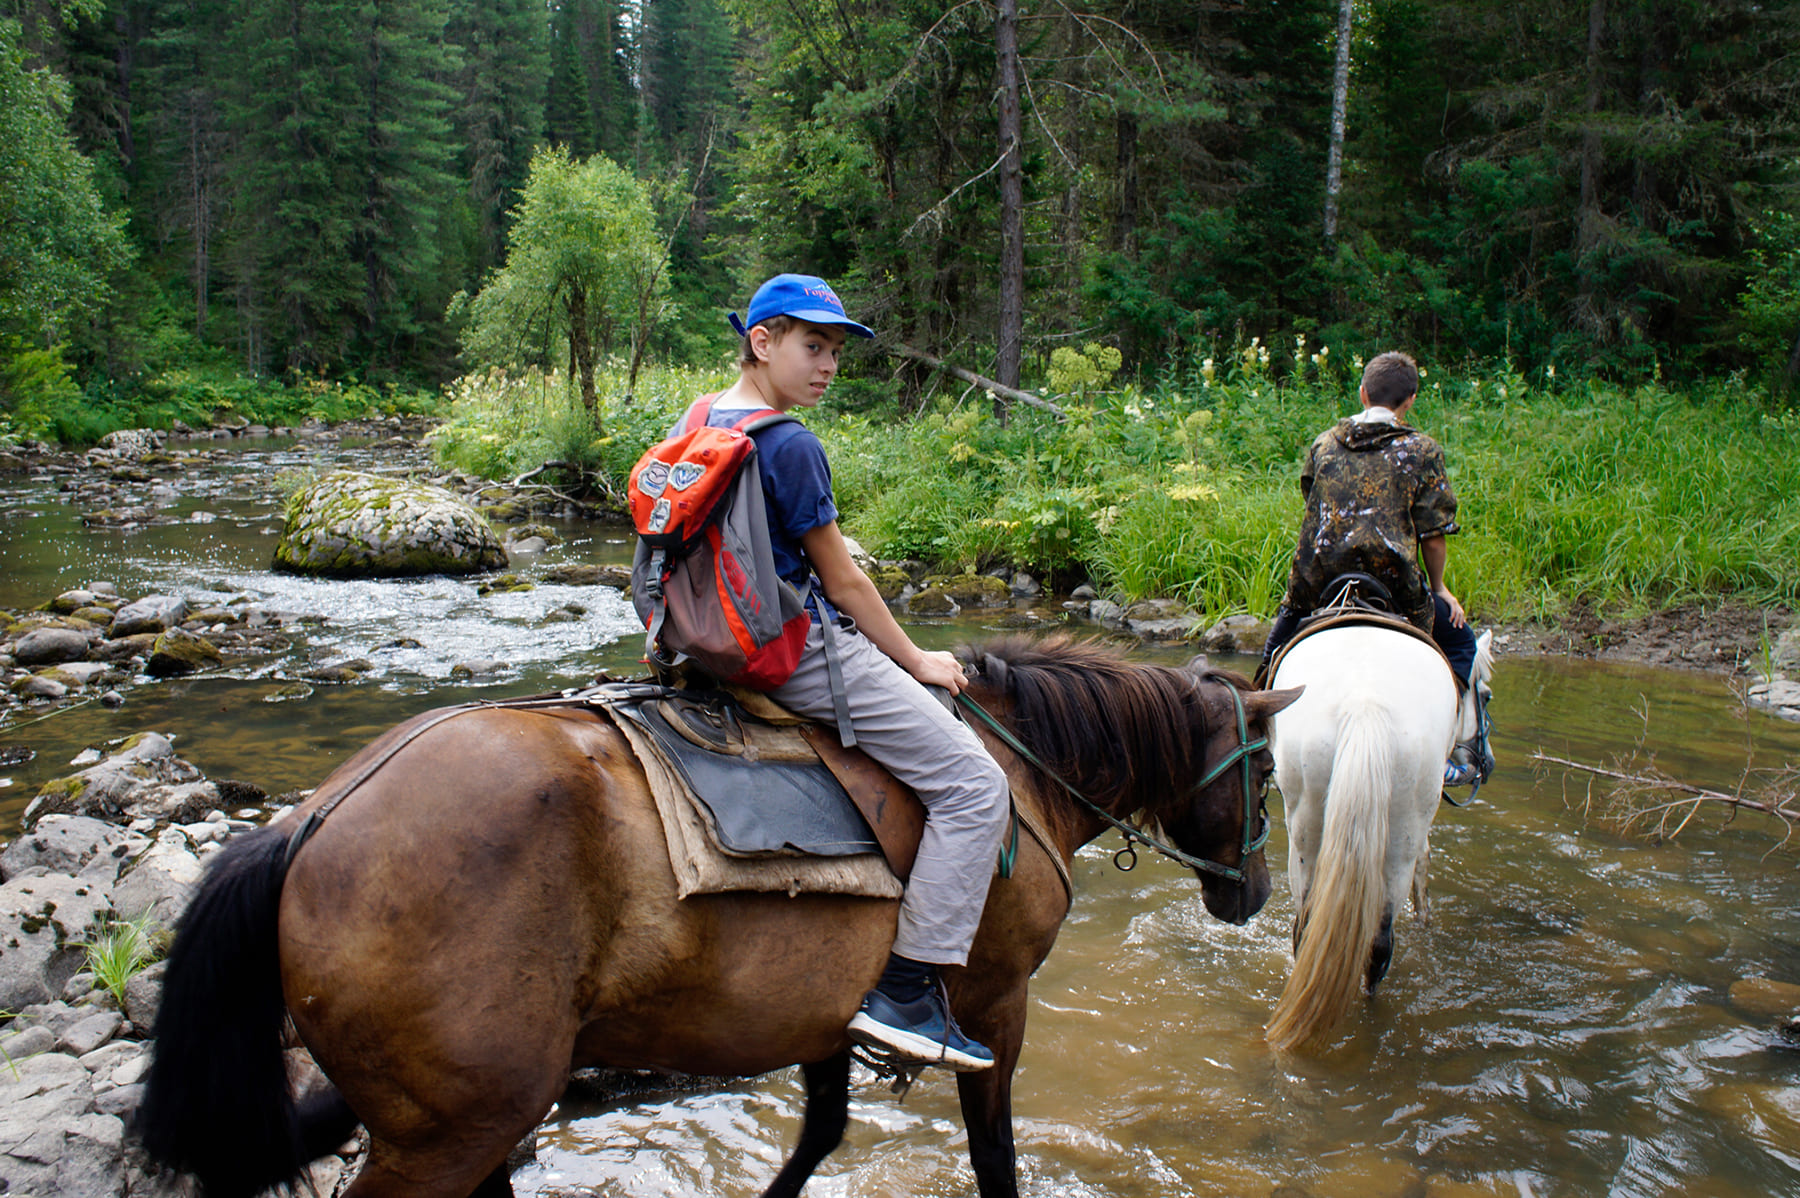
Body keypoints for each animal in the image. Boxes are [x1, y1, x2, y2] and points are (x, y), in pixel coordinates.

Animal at [136, 629, 1296, 1187]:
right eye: (1271, 770)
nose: (1255, 894)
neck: (1021, 770)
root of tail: (311, 823)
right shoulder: (995, 1008)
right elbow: (994, 1156)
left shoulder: (823, 1014)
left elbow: (821, 1136)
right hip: (452, 1129)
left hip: (460, 1121)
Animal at [1260, 618, 1497, 1050]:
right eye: (1485, 695)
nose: (1483, 763)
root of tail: (1365, 705)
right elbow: (1426, 862)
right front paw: (1425, 921)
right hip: (1399, 822)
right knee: (1370, 941)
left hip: (1310, 825)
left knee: (1321, 934)